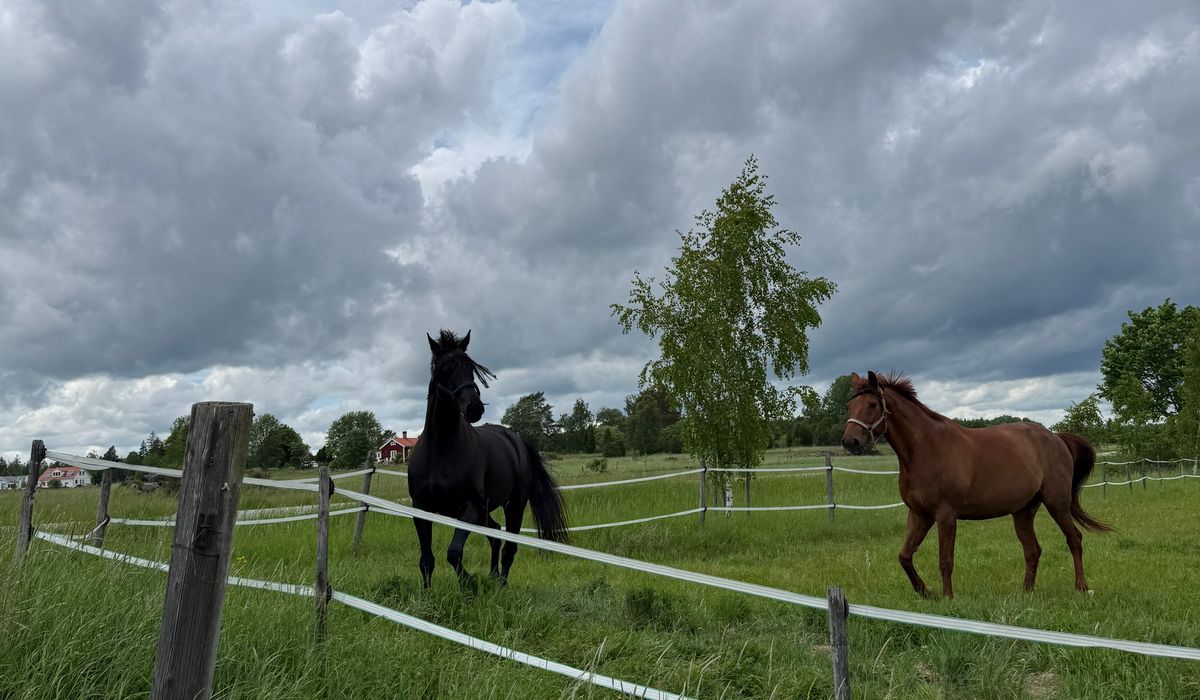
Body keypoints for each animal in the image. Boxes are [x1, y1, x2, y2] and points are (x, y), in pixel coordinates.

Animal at [407, 330, 569, 588]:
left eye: (471, 368)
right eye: (443, 368)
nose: (474, 408)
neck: (441, 449)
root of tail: (517, 441)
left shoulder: (469, 508)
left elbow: (453, 553)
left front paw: (469, 584)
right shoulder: (421, 508)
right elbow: (426, 560)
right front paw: (427, 593)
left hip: (515, 505)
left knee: (509, 547)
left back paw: (501, 584)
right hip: (484, 512)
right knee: (495, 535)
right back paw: (492, 577)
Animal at [841, 371, 1111, 598]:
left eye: (872, 405)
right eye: (850, 405)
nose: (849, 442)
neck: (925, 449)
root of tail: (1056, 438)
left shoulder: (945, 515)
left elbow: (945, 560)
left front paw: (948, 598)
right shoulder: (919, 514)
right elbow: (904, 556)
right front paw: (925, 591)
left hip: (1057, 503)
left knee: (1074, 539)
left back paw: (1082, 587)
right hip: (1023, 512)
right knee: (1033, 550)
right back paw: (1026, 593)